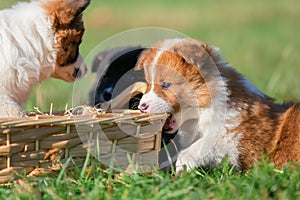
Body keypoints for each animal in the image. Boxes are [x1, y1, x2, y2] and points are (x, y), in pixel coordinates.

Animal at [137, 38, 300, 173]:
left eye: (165, 84)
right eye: (148, 84)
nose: (142, 107)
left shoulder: (241, 143)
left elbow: (208, 142)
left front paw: (183, 164)